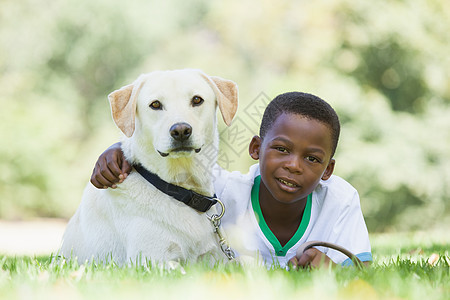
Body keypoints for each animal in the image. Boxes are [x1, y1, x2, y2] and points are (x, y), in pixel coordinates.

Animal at [59, 69, 239, 264]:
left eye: (197, 100)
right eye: (155, 104)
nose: (181, 130)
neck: (178, 189)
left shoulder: (215, 260)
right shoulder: (151, 260)